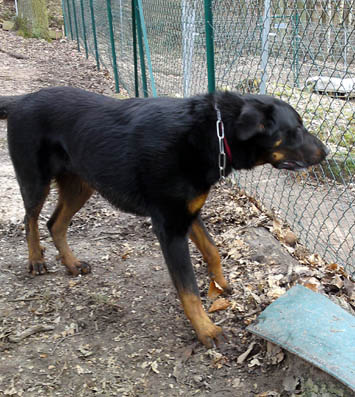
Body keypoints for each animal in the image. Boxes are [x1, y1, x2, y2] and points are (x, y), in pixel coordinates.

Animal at [0, 87, 330, 346]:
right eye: (296, 129)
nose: (326, 152)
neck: (210, 134)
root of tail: (21, 100)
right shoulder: (169, 227)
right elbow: (189, 289)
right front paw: (206, 330)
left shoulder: (189, 214)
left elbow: (212, 251)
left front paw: (221, 284)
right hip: (35, 180)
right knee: (30, 220)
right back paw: (36, 260)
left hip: (80, 185)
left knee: (55, 223)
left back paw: (70, 263)